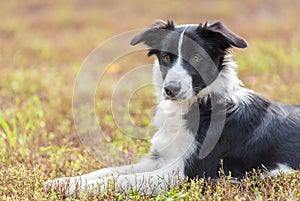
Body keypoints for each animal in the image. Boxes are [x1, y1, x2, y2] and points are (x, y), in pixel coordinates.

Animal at [45, 19, 300, 196]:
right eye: (166, 57)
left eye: (197, 58)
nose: (171, 89)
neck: (198, 107)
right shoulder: (159, 159)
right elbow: (110, 171)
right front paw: (63, 182)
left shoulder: (183, 173)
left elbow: (121, 180)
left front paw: (75, 188)